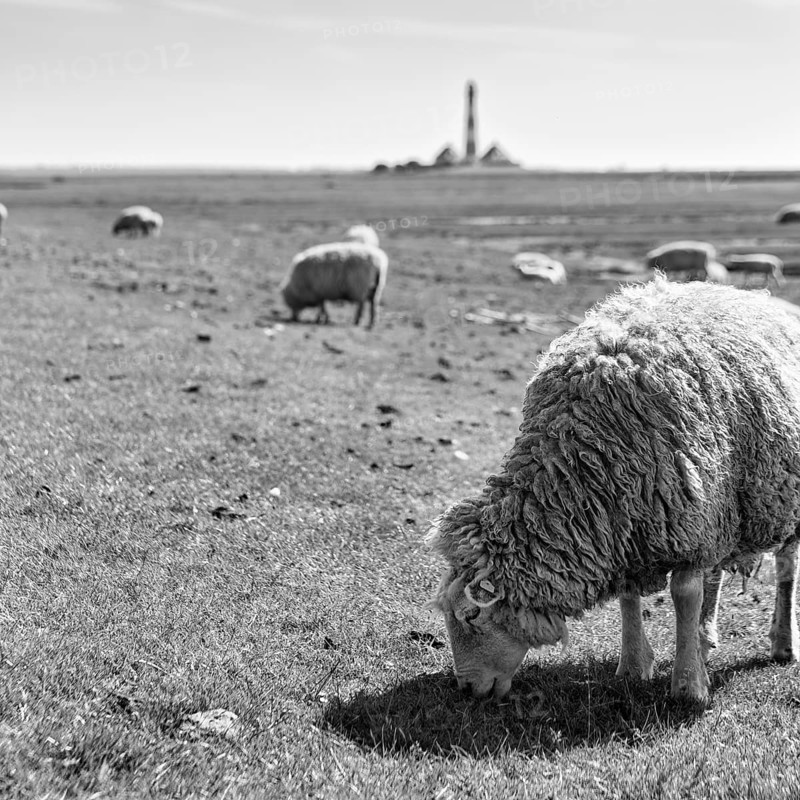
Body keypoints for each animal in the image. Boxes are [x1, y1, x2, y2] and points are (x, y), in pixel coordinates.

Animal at [428, 277, 800, 705]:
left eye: (471, 615)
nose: (467, 689)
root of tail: (742, 292)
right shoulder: (624, 518)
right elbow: (628, 595)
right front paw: (634, 665)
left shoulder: (683, 518)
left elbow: (685, 594)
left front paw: (688, 685)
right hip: (721, 506)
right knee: (717, 574)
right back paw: (705, 640)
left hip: (777, 497)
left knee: (786, 567)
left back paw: (782, 642)